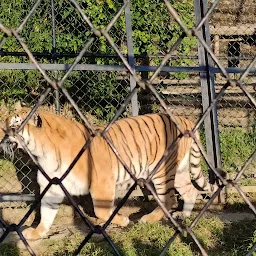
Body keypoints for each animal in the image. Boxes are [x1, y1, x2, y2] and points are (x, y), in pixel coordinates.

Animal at [0, 106, 220, 240]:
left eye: (13, 126)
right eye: (6, 123)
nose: (2, 136)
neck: (41, 152)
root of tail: (185, 119)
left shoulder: (101, 181)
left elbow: (101, 211)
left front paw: (122, 220)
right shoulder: (52, 185)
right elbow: (46, 212)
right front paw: (37, 232)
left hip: (161, 172)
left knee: (170, 199)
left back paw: (148, 218)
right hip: (180, 170)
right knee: (190, 191)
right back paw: (183, 216)